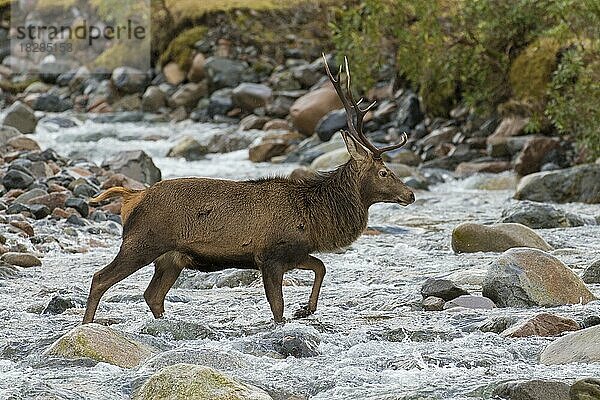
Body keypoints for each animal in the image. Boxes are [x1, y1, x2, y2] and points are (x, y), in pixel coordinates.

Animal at [82, 56, 414, 324]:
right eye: (384, 172)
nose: (410, 195)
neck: (314, 217)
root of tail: (132, 197)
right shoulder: (270, 255)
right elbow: (278, 306)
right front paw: (293, 315)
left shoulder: (293, 252)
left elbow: (320, 267)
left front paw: (306, 309)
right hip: (142, 241)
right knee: (100, 278)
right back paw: (86, 326)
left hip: (171, 258)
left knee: (152, 295)